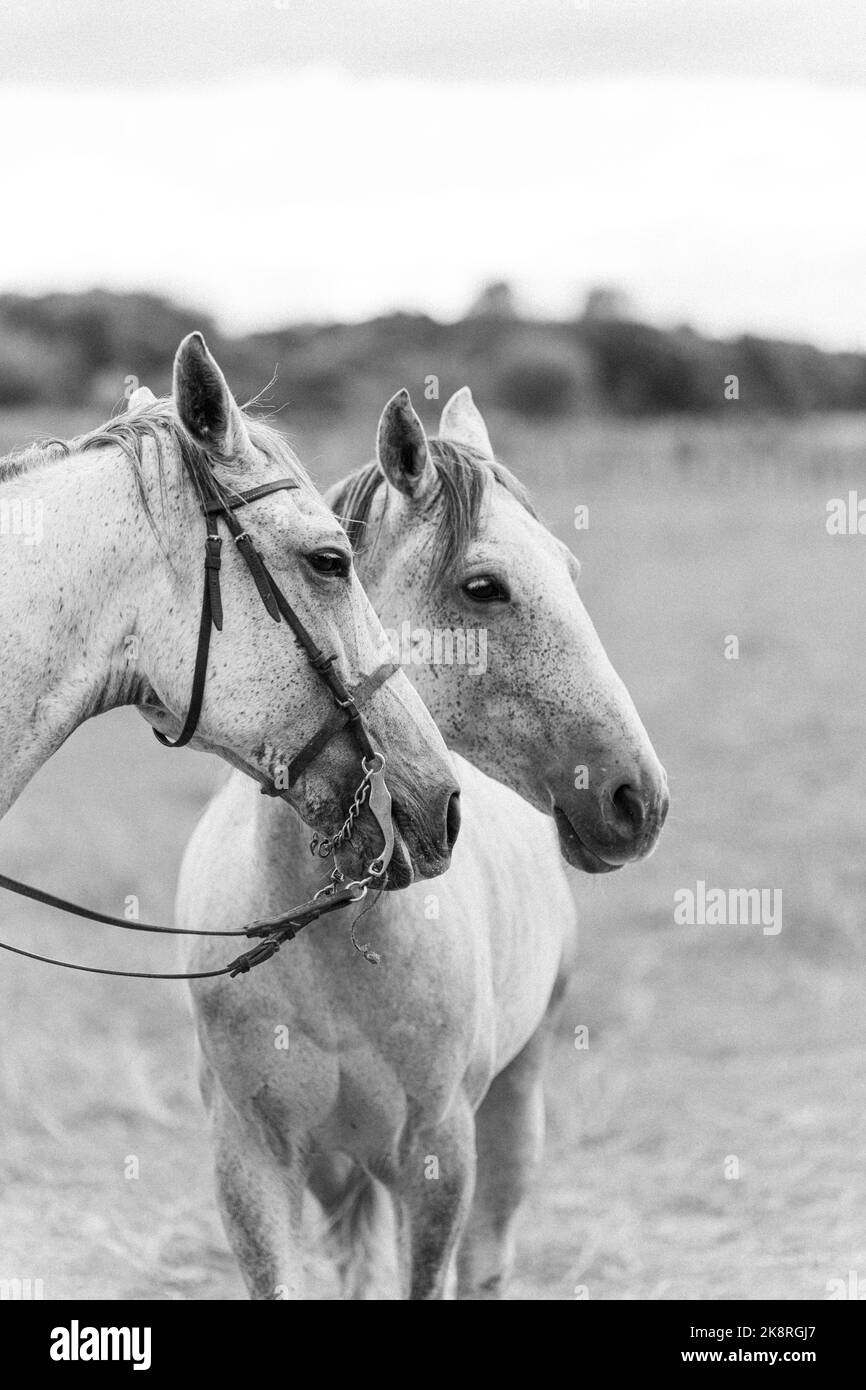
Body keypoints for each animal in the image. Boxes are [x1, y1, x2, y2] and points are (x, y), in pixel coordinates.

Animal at [176, 385, 669, 1299]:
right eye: (484, 586)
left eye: (570, 571)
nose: (637, 799)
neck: (337, 938)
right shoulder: (253, 1161)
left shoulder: (437, 1158)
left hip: (513, 1109)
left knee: (488, 1259)